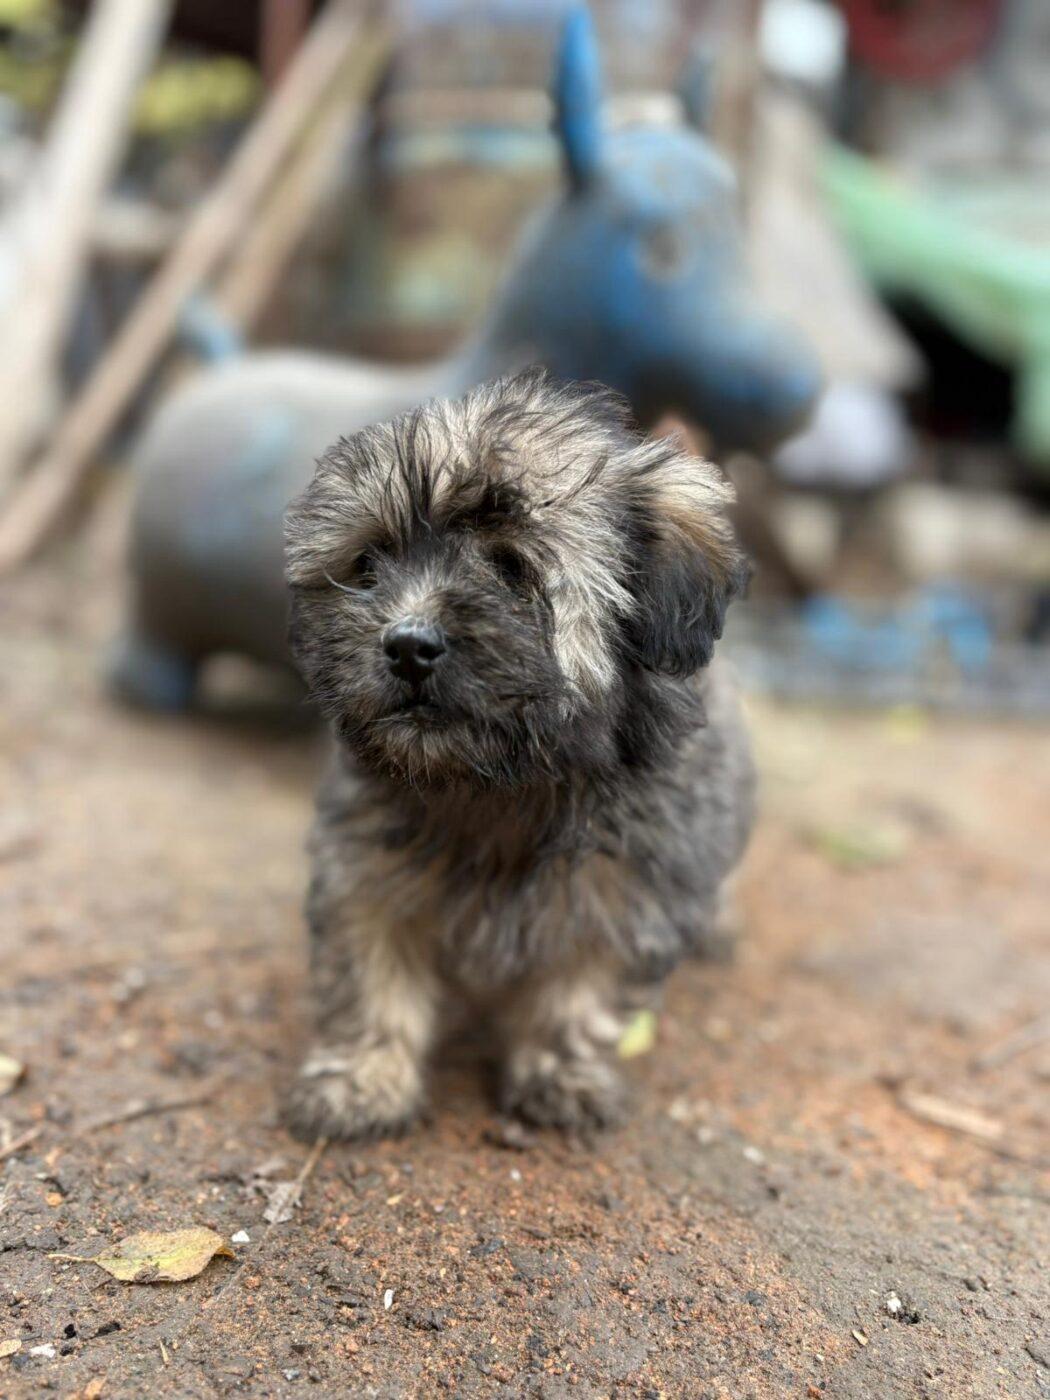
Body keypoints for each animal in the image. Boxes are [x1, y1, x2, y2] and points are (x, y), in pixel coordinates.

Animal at [282, 369, 755, 1140]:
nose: (406, 644)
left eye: (511, 567)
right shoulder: (365, 868)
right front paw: (361, 1078)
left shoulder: (628, 892)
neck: (502, 789)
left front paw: (561, 1074)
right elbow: (369, 976)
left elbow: (580, 996)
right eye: (368, 564)